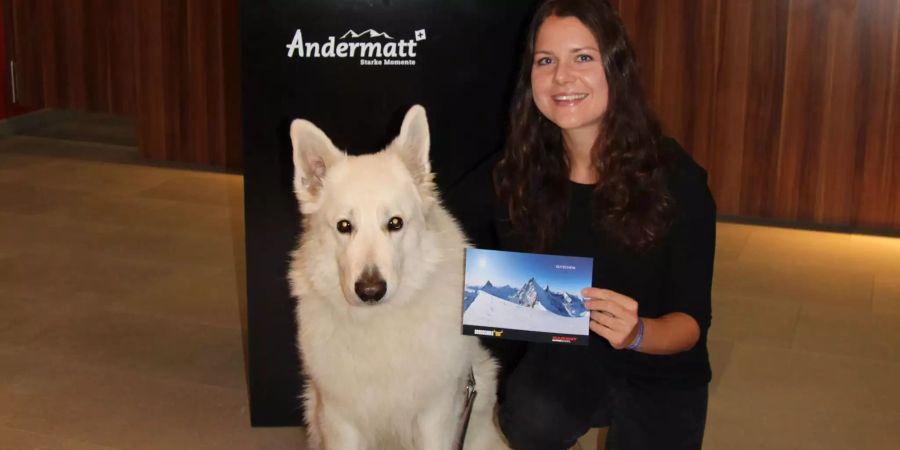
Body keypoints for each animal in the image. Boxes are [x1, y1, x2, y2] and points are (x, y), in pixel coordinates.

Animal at [286, 104, 506, 450]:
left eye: (395, 223)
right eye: (344, 226)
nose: (370, 290)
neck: (380, 323)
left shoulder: (434, 416)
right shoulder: (339, 419)